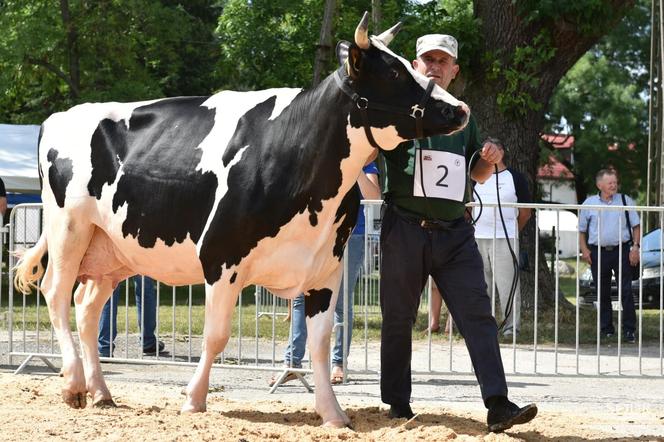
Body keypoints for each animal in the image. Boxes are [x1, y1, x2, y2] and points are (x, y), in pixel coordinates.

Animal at [14, 12, 466, 428]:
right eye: (393, 71)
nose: (459, 109)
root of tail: (60, 116)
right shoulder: (220, 258)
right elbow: (216, 336)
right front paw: (193, 399)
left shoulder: (327, 269)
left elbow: (320, 343)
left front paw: (333, 414)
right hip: (68, 227)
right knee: (56, 292)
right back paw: (74, 384)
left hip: (112, 248)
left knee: (87, 307)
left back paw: (101, 392)